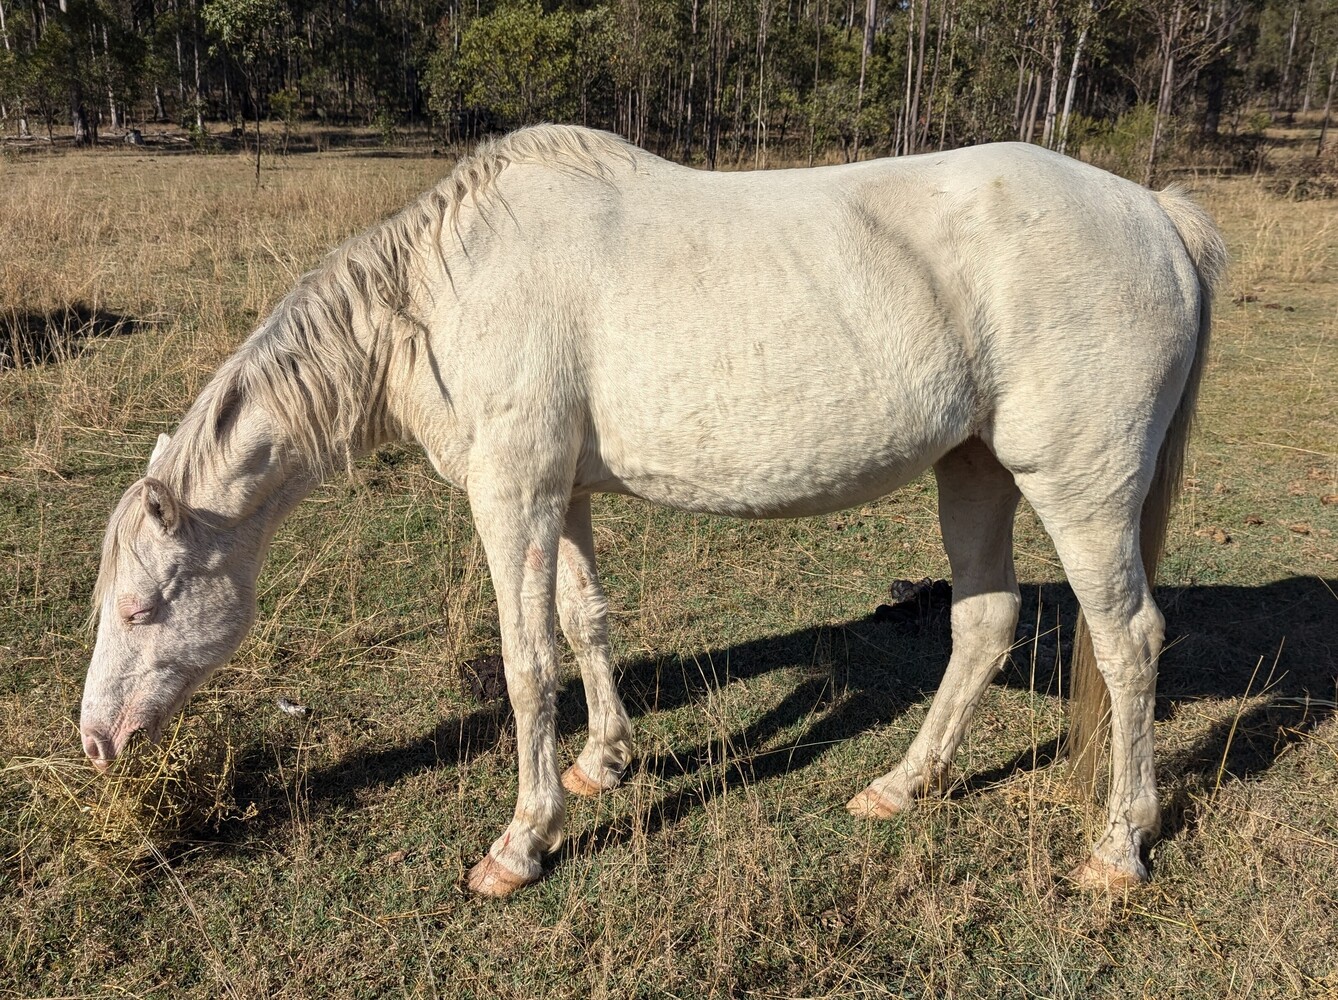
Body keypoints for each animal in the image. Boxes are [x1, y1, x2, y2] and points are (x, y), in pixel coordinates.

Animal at [79, 125, 1226, 896]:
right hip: (976, 468)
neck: (442, 299)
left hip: (1077, 486)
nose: (96, 741)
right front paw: (602, 764)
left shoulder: (513, 496)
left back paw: (1118, 848)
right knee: (983, 622)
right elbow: (585, 624)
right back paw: (902, 786)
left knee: (1128, 640)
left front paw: (522, 841)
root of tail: (1155, 215)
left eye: (140, 607)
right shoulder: (564, 495)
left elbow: (527, 662)